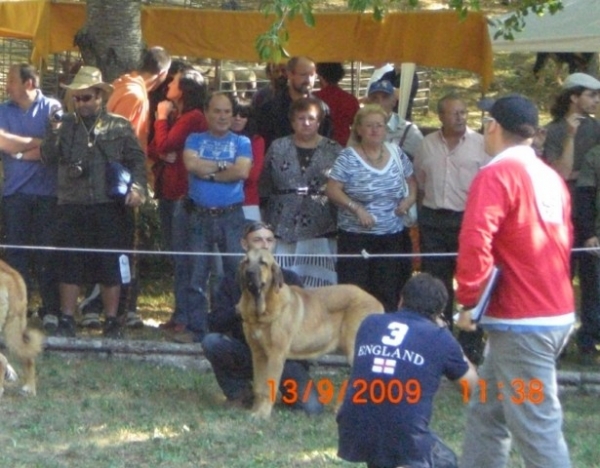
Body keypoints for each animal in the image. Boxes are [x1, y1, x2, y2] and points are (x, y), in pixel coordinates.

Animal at [237, 249, 382, 416]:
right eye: (246, 261)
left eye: (263, 263)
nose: (249, 272)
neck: (261, 308)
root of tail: (377, 302)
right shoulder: (258, 354)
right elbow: (259, 387)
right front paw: (255, 410)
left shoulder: (276, 354)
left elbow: (268, 387)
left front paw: (263, 414)